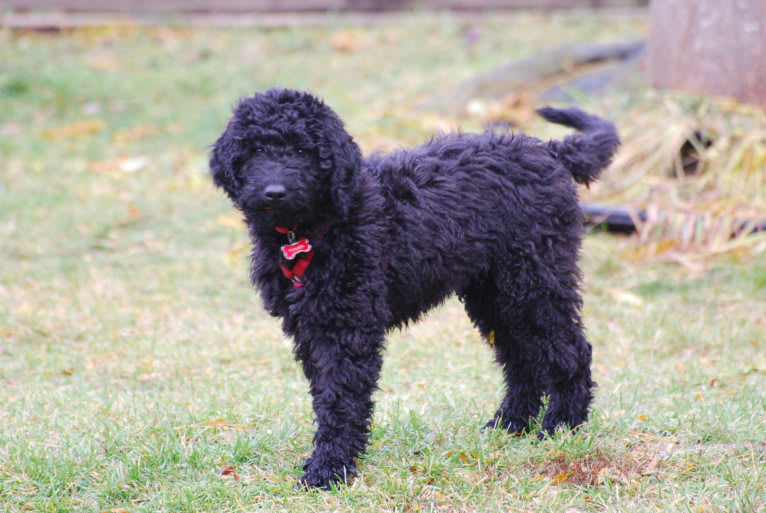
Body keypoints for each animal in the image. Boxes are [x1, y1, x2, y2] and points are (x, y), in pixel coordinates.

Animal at [208, 88, 616, 488]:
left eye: (301, 151)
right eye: (255, 151)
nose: (274, 192)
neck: (311, 231)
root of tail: (549, 151)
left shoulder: (346, 326)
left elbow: (340, 398)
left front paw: (329, 469)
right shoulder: (310, 326)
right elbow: (325, 394)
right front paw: (330, 462)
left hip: (534, 281)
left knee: (570, 350)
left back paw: (562, 426)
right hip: (495, 293)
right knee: (523, 357)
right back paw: (510, 424)